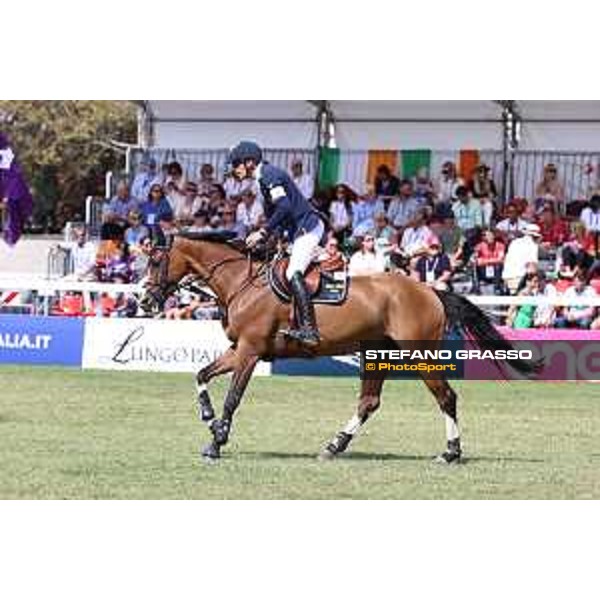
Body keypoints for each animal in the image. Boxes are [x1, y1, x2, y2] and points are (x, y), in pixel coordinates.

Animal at [142, 232, 540, 462]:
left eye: (156, 260)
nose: (145, 300)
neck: (241, 282)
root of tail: (429, 291)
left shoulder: (250, 351)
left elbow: (233, 397)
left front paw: (217, 441)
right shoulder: (238, 348)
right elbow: (201, 374)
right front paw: (208, 417)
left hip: (418, 354)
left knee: (446, 397)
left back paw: (450, 453)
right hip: (377, 354)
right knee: (369, 402)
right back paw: (335, 445)